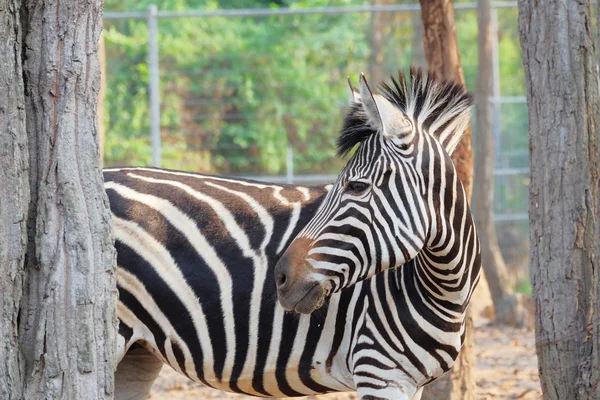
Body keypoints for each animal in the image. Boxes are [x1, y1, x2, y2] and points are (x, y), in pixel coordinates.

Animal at [106, 67, 482, 398]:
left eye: (357, 187)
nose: (281, 278)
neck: (444, 289)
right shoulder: (378, 371)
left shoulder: (410, 382)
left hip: (139, 351)